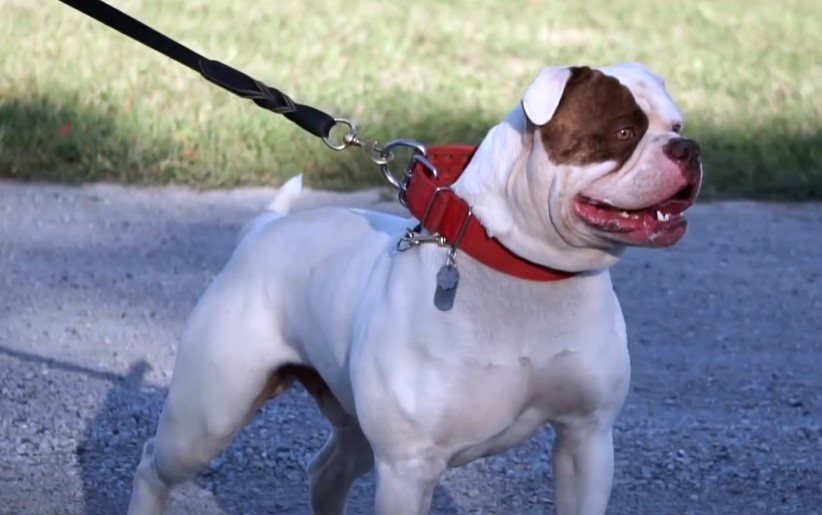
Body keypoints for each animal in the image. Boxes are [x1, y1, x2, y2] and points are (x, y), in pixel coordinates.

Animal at [127, 62, 700, 512]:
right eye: (624, 132)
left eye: (676, 124)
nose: (689, 148)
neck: (526, 269)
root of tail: (264, 229)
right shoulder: (409, 467)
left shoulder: (586, 437)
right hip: (207, 418)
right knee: (152, 464)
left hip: (352, 428)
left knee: (325, 472)